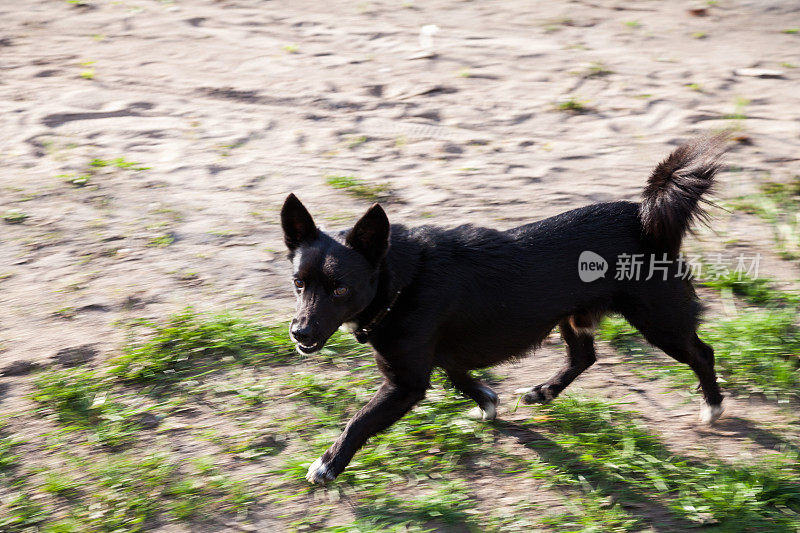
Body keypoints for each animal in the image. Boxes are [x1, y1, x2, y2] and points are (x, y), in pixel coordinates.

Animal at [282, 136, 724, 482]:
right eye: (299, 283)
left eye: (341, 289)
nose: (300, 333)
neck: (403, 281)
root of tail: (644, 216)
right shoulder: (439, 358)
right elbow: (464, 380)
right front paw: (488, 403)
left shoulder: (404, 383)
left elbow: (360, 420)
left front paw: (327, 465)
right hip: (573, 316)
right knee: (584, 356)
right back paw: (544, 391)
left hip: (659, 320)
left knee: (702, 353)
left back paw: (712, 406)